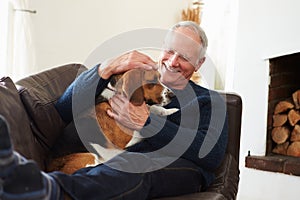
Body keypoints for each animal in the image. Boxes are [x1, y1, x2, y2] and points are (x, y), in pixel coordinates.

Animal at [47, 68, 177, 173]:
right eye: (152, 80)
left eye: (160, 78)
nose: (173, 95)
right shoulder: (124, 138)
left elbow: (153, 108)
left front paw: (169, 111)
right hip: (89, 157)